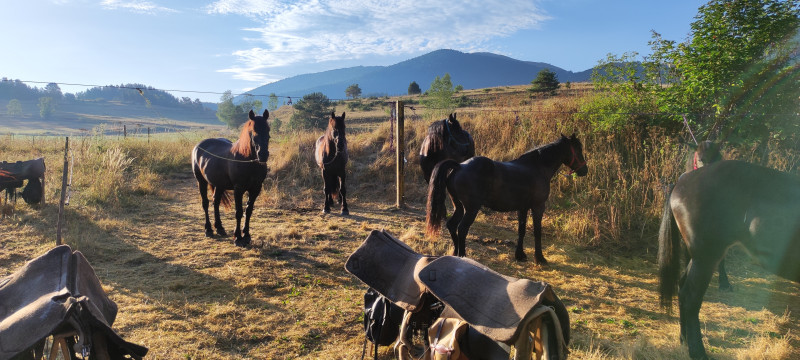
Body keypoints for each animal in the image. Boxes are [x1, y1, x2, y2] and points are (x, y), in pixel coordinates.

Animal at [193, 108, 272, 246]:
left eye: (268, 131)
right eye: (253, 132)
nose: (263, 155)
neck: (247, 160)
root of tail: (199, 146)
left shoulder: (256, 189)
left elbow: (248, 211)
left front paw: (246, 235)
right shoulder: (238, 189)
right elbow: (239, 212)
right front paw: (238, 237)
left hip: (219, 184)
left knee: (216, 202)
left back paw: (219, 228)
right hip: (201, 181)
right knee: (205, 203)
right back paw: (208, 230)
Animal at [424, 134, 588, 262]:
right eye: (578, 149)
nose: (584, 170)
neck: (537, 167)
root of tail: (460, 166)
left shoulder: (523, 208)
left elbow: (521, 230)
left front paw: (520, 255)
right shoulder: (538, 206)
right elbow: (537, 231)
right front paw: (540, 258)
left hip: (459, 206)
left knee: (452, 225)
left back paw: (455, 254)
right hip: (471, 209)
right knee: (462, 228)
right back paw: (463, 257)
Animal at [656, 161, 800, 360]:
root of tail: (683, 180)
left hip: (699, 257)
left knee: (682, 286)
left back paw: (684, 341)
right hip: (706, 256)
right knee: (690, 298)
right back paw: (698, 352)